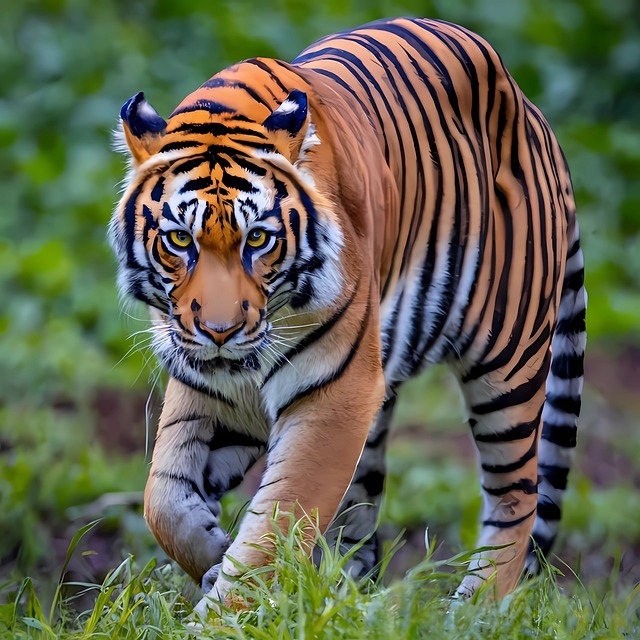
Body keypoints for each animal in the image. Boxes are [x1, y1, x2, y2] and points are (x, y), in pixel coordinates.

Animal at [109, 17, 584, 612]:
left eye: (258, 239)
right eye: (179, 240)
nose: (221, 332)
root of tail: (533, 115)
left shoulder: (335, 393)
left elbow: (274, 526)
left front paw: (224, 609)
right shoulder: (208, 386)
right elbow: (164, 500)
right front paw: (217, 563)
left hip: (508, 362)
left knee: (517, 498)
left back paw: (469, 611)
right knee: (361, 515)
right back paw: (346, 598)